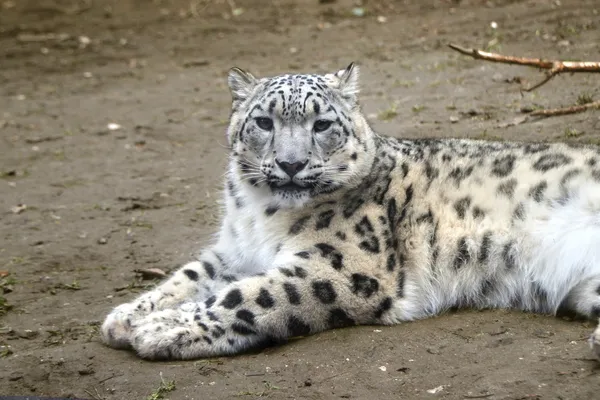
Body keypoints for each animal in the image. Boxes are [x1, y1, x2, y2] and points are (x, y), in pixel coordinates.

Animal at [101, 64, 600, 360]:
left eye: (322, 124)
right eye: (263, 122)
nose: (291, 163)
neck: (262, 215)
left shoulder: (344, 265)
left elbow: (248, 295)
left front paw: (160, 328)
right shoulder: (233, 251)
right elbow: (189, 277)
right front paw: (127, 316)